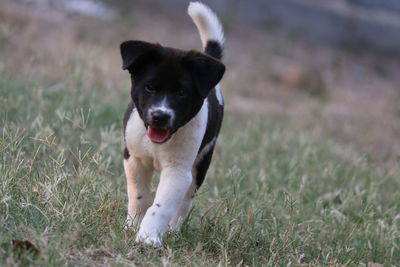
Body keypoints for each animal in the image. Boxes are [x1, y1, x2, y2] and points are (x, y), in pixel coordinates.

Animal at [120, 2, 225, 248]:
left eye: (181, 93)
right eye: (149, 87)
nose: (160, 115)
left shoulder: (178, 171)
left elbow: (162, 206)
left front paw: (148, 237)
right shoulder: (134, 158)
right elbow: (139, 197)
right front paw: (133, 226)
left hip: (201, 164)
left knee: (185, 204)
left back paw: (173, 231)